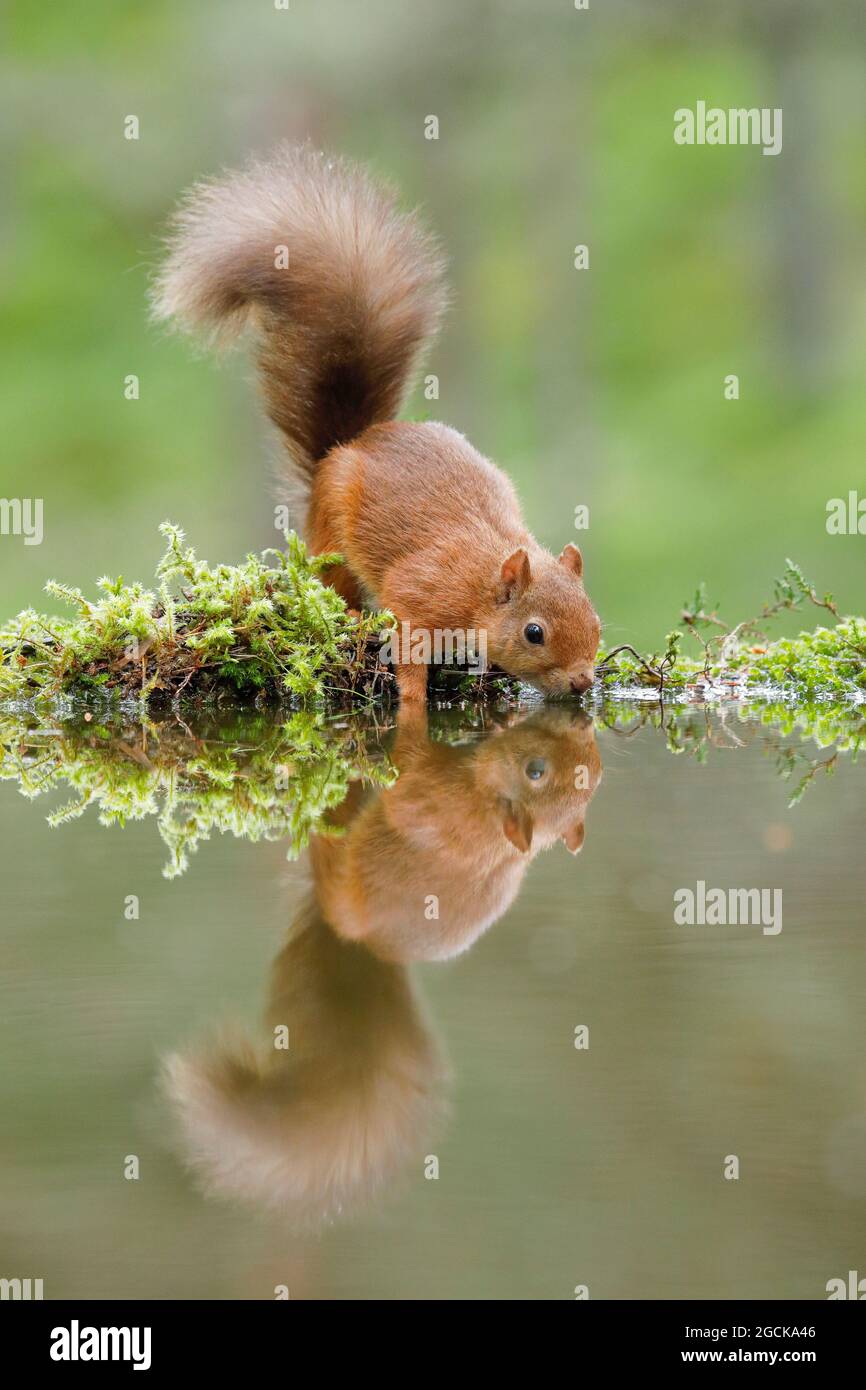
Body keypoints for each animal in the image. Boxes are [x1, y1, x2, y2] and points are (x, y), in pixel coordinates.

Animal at [154, 146, 603, 700]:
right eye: (534, 632)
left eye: (595, 619)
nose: (583, 681)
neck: (480, 580)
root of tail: (351, 442)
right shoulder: (417, 593)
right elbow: (408, 648)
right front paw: (412, 698)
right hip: (332, 536)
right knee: (335, 587)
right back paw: (348, 615)